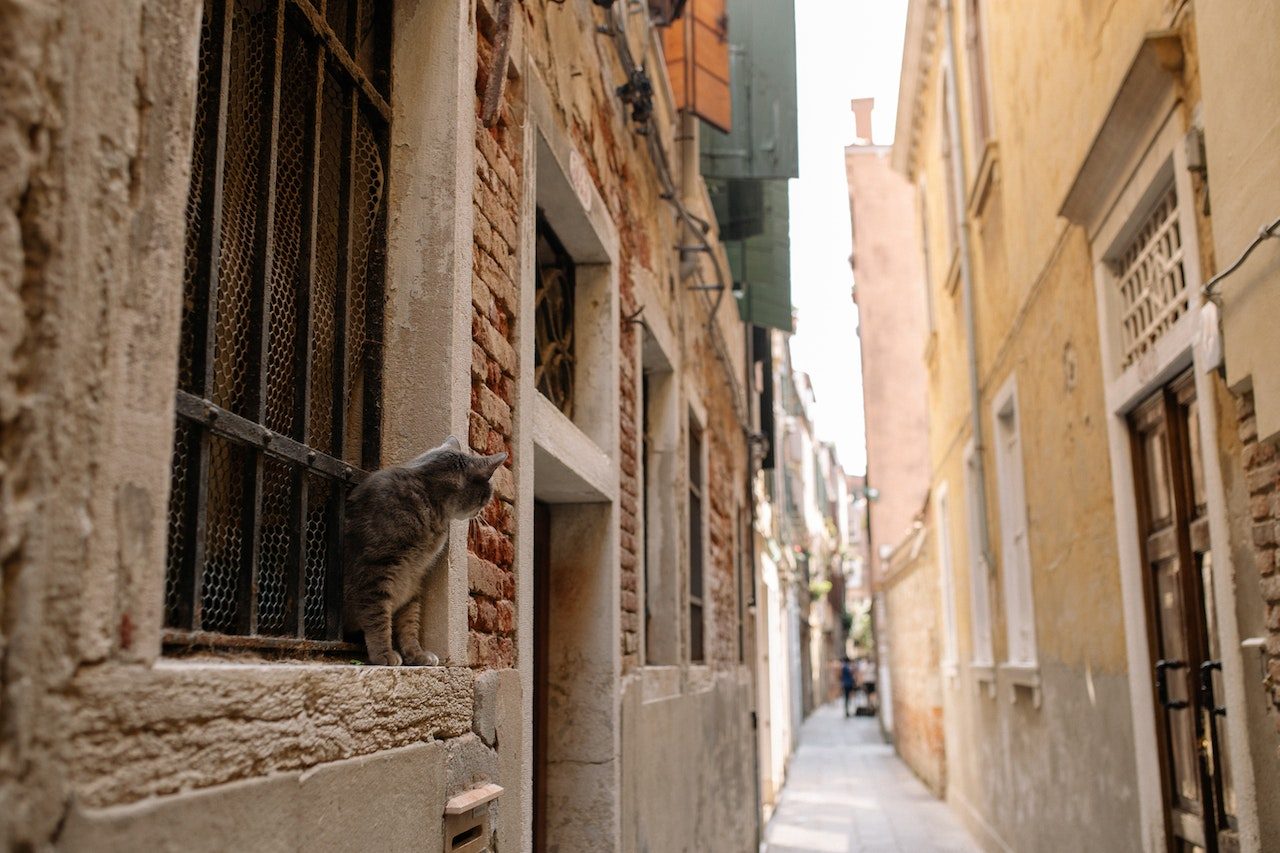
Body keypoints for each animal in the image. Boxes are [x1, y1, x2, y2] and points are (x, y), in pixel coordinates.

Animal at [343, 432, 506, 666]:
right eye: (487, 496)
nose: (481, 512)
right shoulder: (376, 568)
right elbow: (377, 616)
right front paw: (384, 653)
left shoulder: (413, 579)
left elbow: (409, 622)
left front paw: (416, 654)